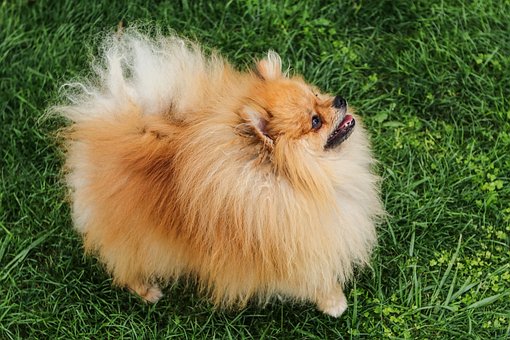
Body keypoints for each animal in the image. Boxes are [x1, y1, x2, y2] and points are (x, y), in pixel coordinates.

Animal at [55, 29, 382, 318]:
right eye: (315, 121)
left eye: (316, 94)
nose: (339, 99)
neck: (295, 179)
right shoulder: (295, 252)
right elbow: (317, 280)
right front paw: (334, 303)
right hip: (136, 239)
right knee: (126, 267)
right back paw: (147, 291)